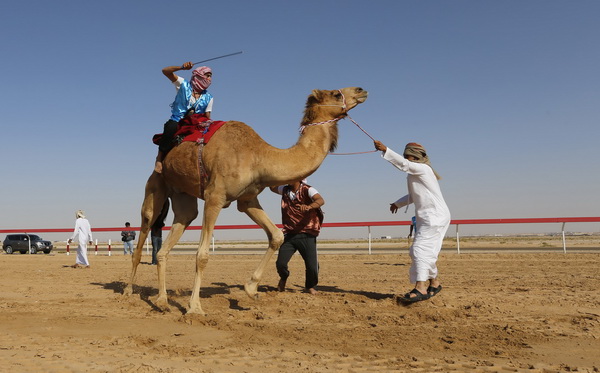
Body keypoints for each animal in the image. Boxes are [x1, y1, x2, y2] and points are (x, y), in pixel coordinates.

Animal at [125, 85, 368, 312]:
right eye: (335, 93)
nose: (361, 90)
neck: (259, 157)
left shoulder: (248, 200)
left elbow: (277, 235)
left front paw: (251, 289)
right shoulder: (215, 196)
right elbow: (202, 255)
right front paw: (195, 307)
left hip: (183, 196)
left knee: (172, 237)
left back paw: (163, 301)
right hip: (156, 186)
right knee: (143, 233)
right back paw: (129, 291)